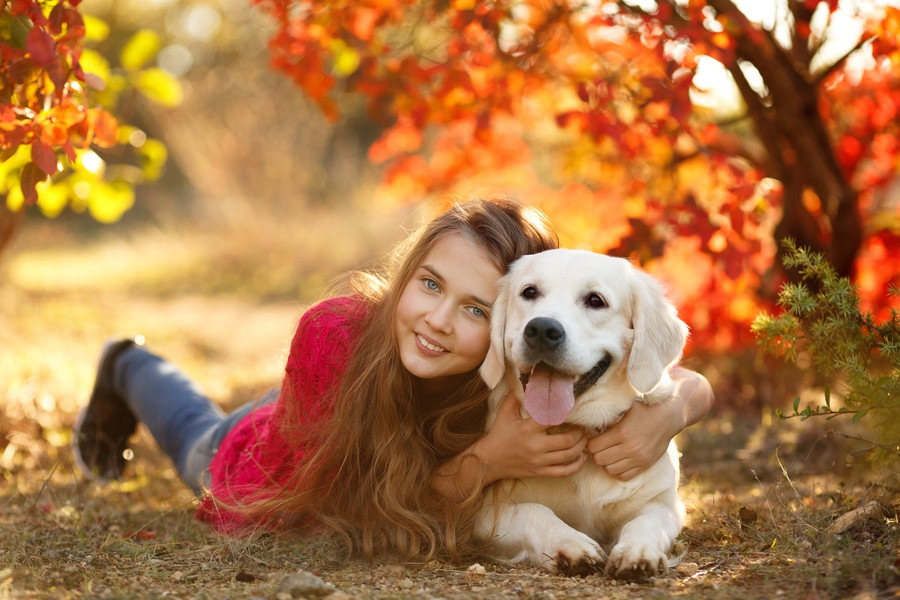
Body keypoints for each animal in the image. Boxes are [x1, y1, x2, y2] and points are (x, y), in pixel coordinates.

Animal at [478, 247, 688, 576]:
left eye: (595, 300)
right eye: (529, 292)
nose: (542, 329)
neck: (578, 427)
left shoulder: (665, 504)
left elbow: (645, 522)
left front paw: (637, 552)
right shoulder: (476, 512)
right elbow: (533, 510)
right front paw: (570, 544)